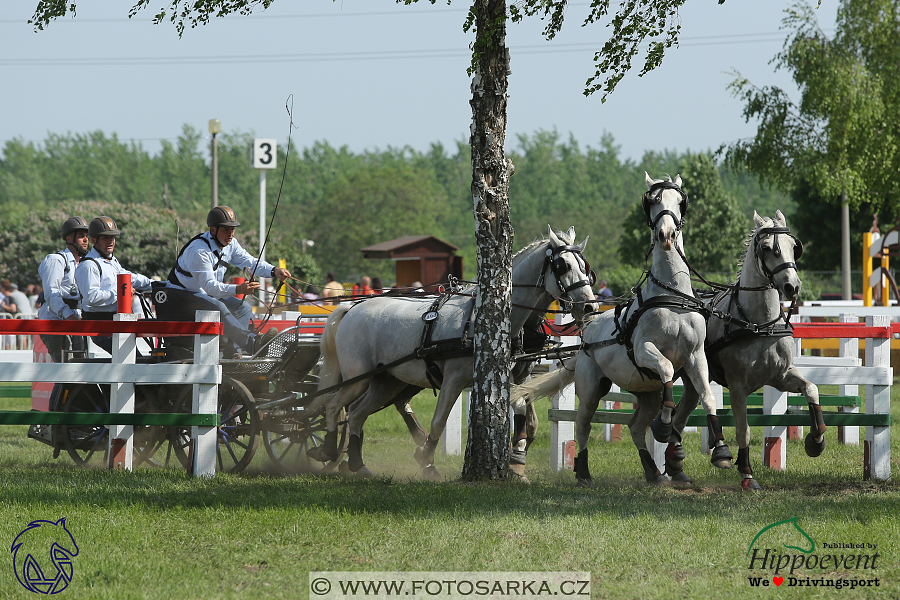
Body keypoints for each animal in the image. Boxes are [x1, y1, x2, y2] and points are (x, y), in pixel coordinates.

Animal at [310, 225, 596, 478]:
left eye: (585, 267)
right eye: (562, 266)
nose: (591, 307)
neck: (481, 321)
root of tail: (353, 307)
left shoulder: (511, 378)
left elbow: (524, 413)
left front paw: (517, 457)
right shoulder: (453, 380)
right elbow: (439, 421)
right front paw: (426, 461)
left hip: (387, 381)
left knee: (357, 413)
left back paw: (357, 464)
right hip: (358, 377)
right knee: (334, 404)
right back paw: (328, 450)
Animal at [510, 172, 720, 482]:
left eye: (680, 201)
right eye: (653, 200)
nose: (666, 235)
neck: (671, 295)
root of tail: (587, 335)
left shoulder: (695, 356)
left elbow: (707, 396)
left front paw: (721, 450)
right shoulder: (645, 350)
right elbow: (667, 368)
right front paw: (665, 424)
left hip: (648, 393)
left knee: (636, 426)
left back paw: (653, 471)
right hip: (590, 389)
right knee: (583, 425)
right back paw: (583, 471)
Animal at [660, 211, 824, 492]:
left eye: (794, 246)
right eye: (767, 248)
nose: (792, 287)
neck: (759, 324)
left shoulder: (781, 376)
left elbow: (811, 389)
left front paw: (816, 440)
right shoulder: (738, 387)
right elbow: (743, 430)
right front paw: (746, 473)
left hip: (694, 380)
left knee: (680, 417)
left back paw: (675, 466)